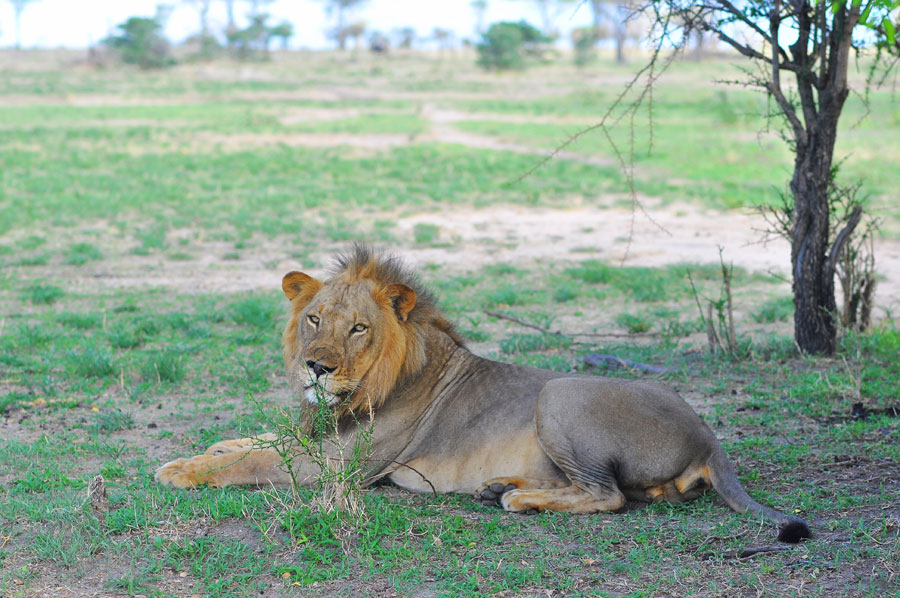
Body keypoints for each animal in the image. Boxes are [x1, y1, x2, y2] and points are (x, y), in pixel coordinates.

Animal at [156, 245, 810, 543]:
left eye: (358, 328)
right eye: (314, 318)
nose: (316, 367)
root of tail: (706, 432)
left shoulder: (339, 467)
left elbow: (255, 461)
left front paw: (179, 470)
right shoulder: (313, 434)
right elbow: (258, 440)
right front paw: (212, 447)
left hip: (561, 395)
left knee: (608, 497)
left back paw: (516, 499)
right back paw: (501, 486)